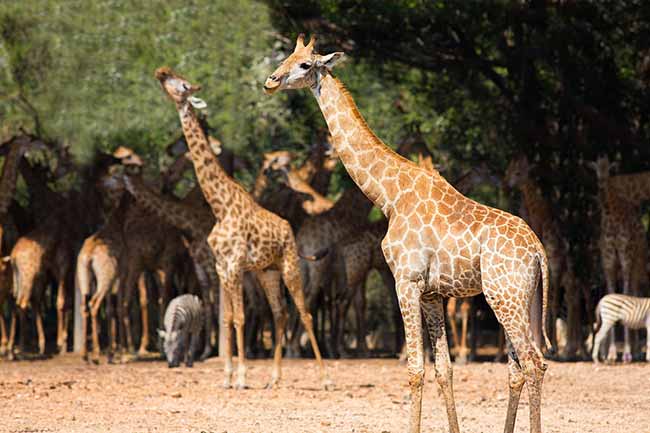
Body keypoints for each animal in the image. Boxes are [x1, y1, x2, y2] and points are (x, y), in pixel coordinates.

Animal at [154, 66, 330, 389]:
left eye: (182, 84)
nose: (161, 72)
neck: (219, 206)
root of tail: (289, 229)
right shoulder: (222, 267)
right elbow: (227, 319)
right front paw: (226, 377)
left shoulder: (235, 265)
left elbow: (239, 318)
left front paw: (241, 378)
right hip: (267, 272)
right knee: (279, 313)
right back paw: (274, 378)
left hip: (289, 266)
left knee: (305, 313)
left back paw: (325, 379)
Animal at [266, 35, 551, 433]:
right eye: (288, 57)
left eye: (305, 65)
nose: (271, 80)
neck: (389, 196)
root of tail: (539, 251)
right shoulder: (432, 292)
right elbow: (444, 370)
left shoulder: (407, 281)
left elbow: (416, 370)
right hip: (523, 297)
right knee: (518, 368)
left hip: (504, 294)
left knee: (533, 363)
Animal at [505, 155, 588, 358]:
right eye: (509, 169)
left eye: (518, 172)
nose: (506, 185)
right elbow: (538, 300)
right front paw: (539, 345)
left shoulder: (552, 267)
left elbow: (548, 303)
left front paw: (548, 347)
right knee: (572, 297)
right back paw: (574, 349)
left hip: (566, 274)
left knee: (568, 299)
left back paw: (569, 349)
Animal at [589, 156, 648, 363]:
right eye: (594, 169)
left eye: (609, 169)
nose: (601, 183)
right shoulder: (608, 262)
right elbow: (611, 291)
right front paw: (610, 352)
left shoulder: (625, 258)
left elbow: (626, 292)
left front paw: (627, 351)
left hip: (638, 262)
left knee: (634, 289)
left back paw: (636, 350)